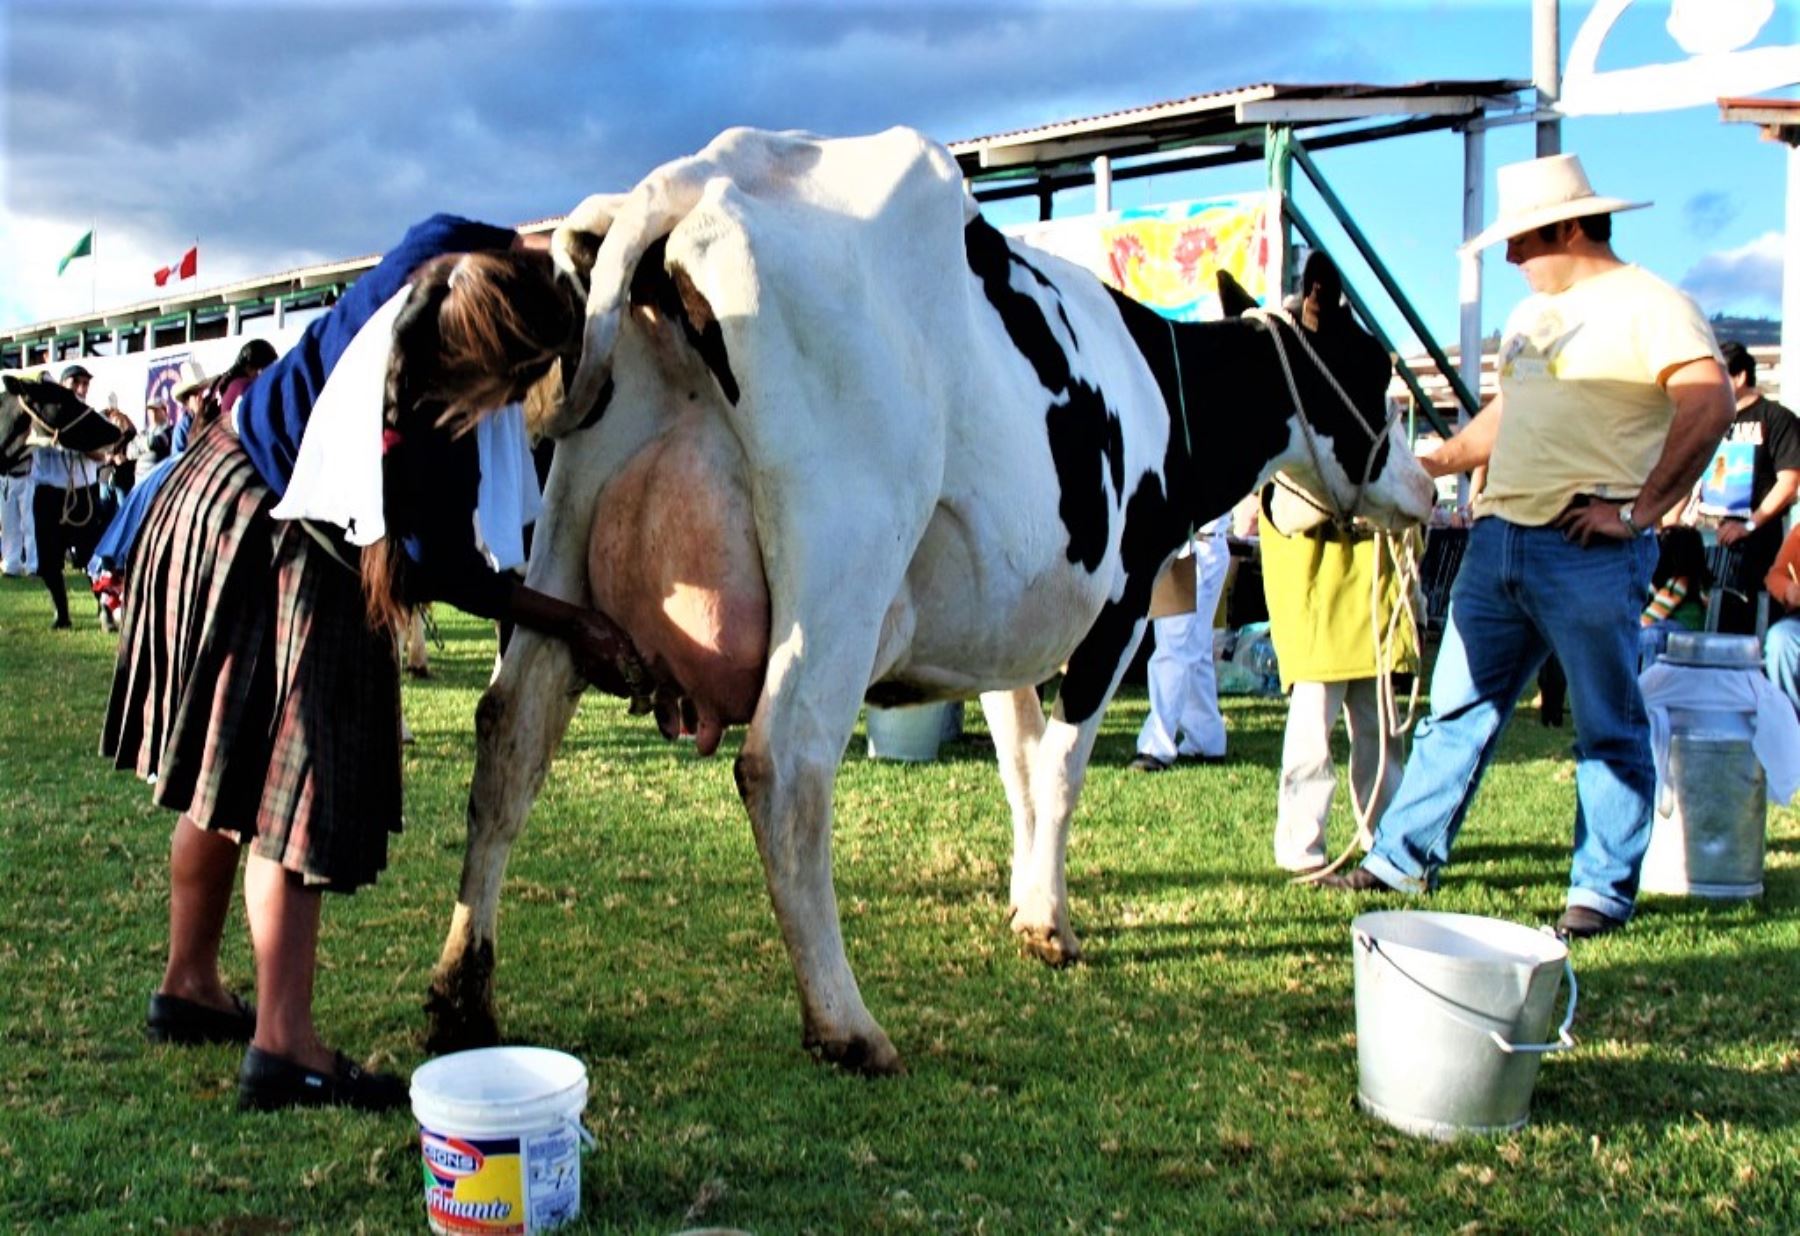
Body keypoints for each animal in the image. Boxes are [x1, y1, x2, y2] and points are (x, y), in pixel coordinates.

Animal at [424, 127, 1432, 1072]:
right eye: (1379, 375)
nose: (1426, 490)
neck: (1165, 394)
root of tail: (697, 175)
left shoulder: (1005, 629)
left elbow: (1020, 768)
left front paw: (1026, 906)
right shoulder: (1121, 604)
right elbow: (1060, 771)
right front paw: (1052, 924)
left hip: (566, 534)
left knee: (511, 734)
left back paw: (462, 993)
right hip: (844, 554)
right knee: (784, 767)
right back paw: (846, 1024)